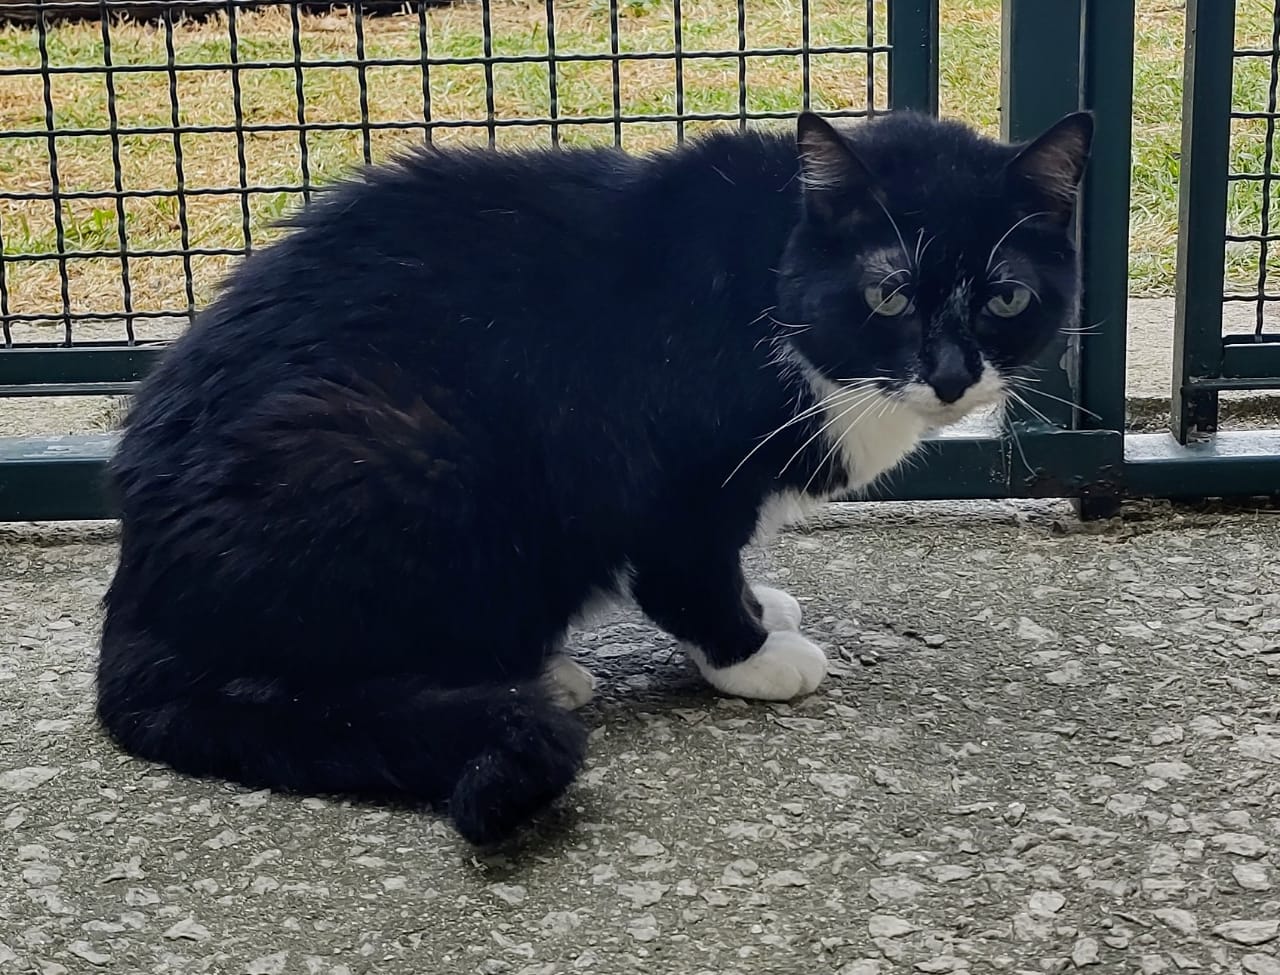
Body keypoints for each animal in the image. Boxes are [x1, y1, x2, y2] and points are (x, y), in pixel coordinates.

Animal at [99, 104, 1095, 834]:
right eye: (888, 293)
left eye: (1008, 297)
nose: (952, 374)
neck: (771, 272)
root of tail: (139, 606)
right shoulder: (666, 472)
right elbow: (688, 574)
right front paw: (752, 654)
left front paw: (763, 608)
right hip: (396, 453)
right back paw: (526, 678)